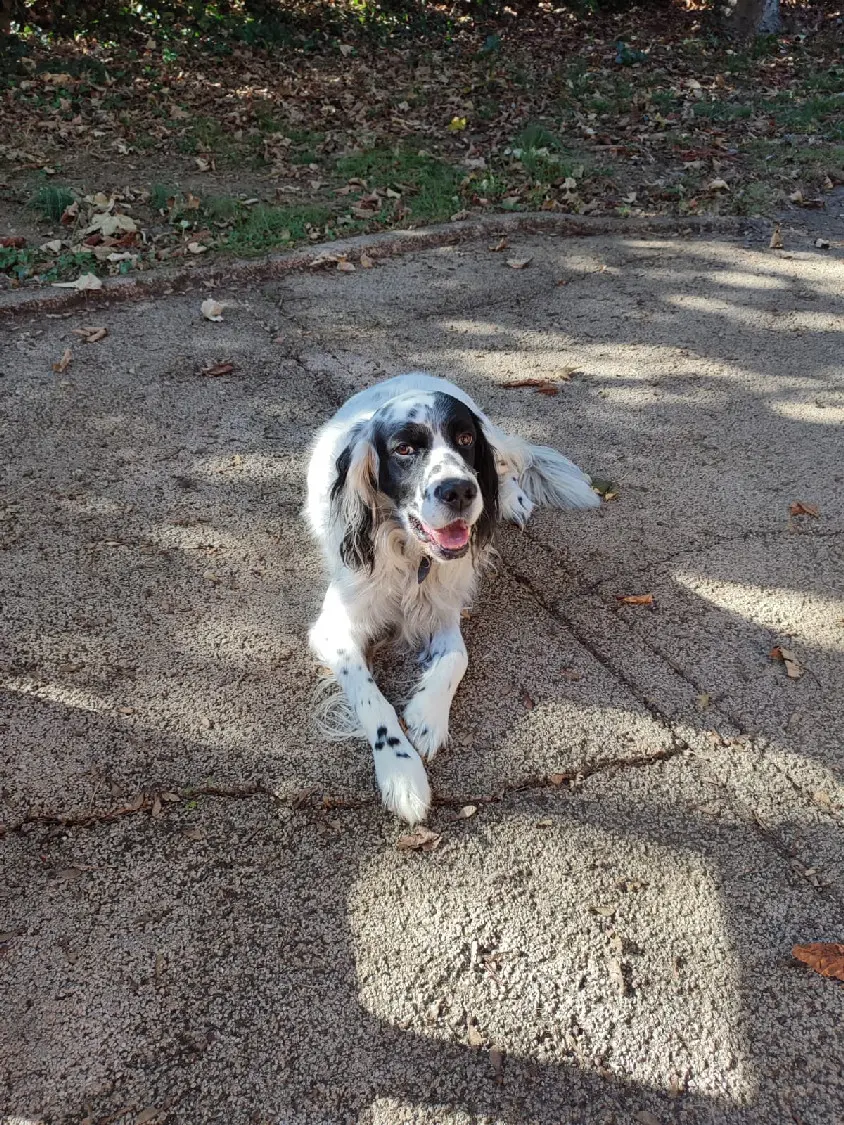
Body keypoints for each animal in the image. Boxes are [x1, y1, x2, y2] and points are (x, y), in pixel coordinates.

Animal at [303, 373, 603, 823]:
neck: (412, 556)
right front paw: (401, 772)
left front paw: (427, 717)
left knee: (511, 465)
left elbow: (457, 659)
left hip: (494, 444)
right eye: (404, 449)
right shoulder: (334, 629)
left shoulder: (442, 613)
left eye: (464, 438)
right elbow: (372, 699)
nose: (459, 491)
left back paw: (513, 498)